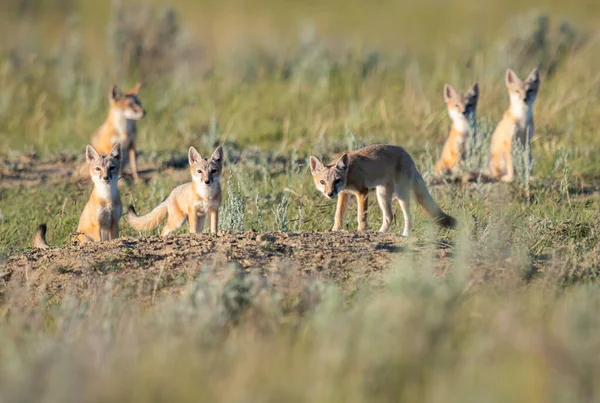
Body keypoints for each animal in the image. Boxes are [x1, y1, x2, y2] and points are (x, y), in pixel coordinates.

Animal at [312, 144, 458, 237]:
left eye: (337, 181)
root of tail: (407, 155)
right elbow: (338, 216)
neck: (349, 173)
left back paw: (406, 234)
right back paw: (381, 233)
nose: (330, 194)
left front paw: (361, 230)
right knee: (389, 217)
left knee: (408, 216)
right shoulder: (344, 193)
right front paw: (335, 230)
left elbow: (361, 216)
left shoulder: (362, 191)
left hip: (401, 194)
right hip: (381, 194)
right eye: (322, 182)